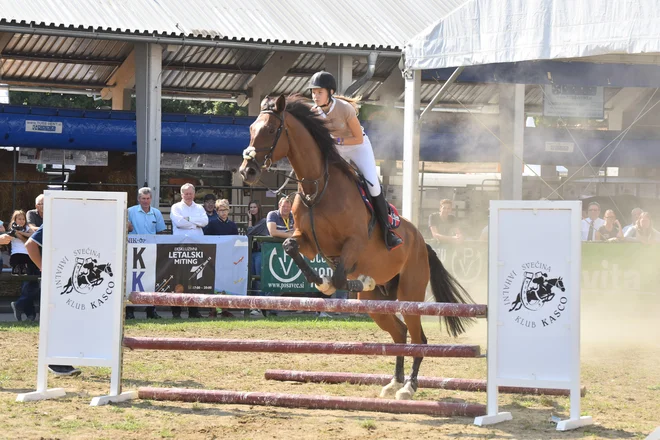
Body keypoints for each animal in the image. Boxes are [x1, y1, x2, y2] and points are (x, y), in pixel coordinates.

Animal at [238, 94, 474, 400]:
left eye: (269, 130)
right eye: (251, 128)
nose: (247, 171)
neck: (318, 187)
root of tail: (423, 242)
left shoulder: (353, 244)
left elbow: (339, 277)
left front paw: (335, 283)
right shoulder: (308, 242)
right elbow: (290, 247)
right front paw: (322, 282)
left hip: (410, 293)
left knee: (418, 338)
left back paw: (408, 387)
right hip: (376, 303)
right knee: (400, 334)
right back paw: (394, 382)